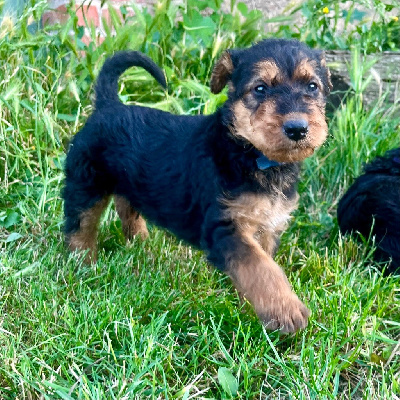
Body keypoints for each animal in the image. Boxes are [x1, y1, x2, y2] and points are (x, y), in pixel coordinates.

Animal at [63, 38, 332, 332]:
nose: (297, 128)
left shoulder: (268, 226)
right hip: (85, 182)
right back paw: (83, 264)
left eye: (312, 86)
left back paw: (140, 241)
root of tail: (108, 105)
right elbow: (261, 269)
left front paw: (250, 307)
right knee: (80, 225)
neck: (250, 155)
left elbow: (260, 266)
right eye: (260, 88)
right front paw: (287, 310)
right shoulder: (223, 226)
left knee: (126, 205)